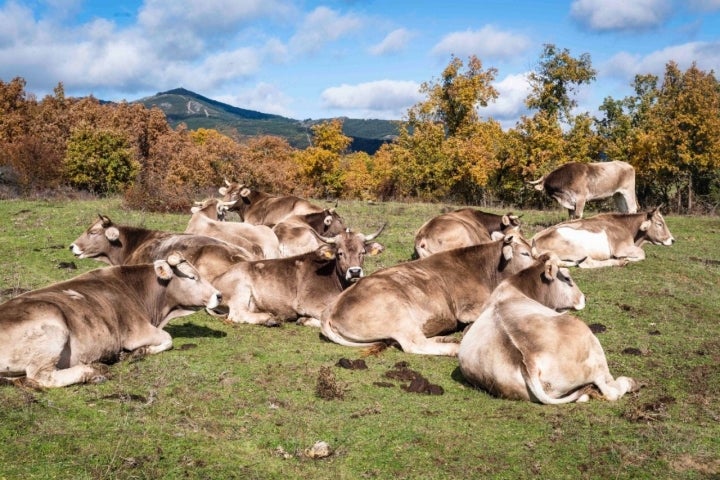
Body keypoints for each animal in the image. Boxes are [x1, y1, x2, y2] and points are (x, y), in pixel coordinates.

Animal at [0, 253, 221, 388]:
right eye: (192, 277)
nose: (219, 295)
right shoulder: (137, 331)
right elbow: (168, 339)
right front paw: (139, 352)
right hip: (53, 329)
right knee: (42, 376)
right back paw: (93, 371)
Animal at [211, 225, 386, 326]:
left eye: (362, 252)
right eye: (339, 253)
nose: (355, 271)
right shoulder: (307, 303)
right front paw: (304, 320)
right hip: (240, 289)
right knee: (237, 314)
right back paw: (270, 319)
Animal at [458, 253, 640, 404]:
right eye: (567, 278)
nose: (584, 298)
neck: (515, 288)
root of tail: (529, 361)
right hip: (591, 345)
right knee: (609, 390)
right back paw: (630, 382)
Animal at [528, 205, 676, 268]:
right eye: (659, 224)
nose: (672, 240)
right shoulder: (621, 248)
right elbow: (642, 253)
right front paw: (627, 258)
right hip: (578, 250)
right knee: (586, 264)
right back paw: (620, 262)